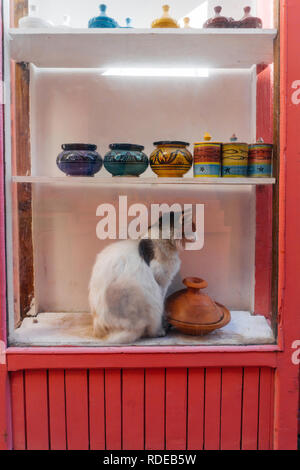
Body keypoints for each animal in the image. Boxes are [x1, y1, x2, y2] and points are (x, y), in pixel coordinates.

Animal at [88, 211, 197, 344]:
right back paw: (158, 331)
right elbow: (162, 306)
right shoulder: (161, 281)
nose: (197, 235)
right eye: (193, 228)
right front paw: (162, 326)